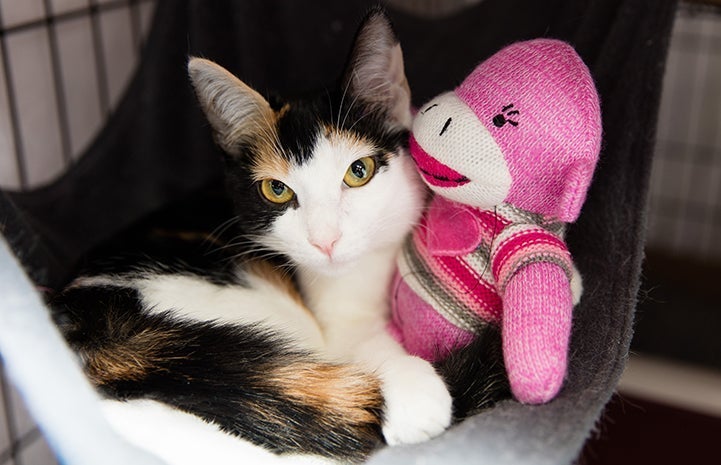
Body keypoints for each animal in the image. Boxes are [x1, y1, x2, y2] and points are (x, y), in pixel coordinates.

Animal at [47, 8, 510, 464]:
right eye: (276, 189)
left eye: (358, 171)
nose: (326, 240)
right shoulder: (333, 324)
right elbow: (362, 341)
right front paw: (415, 389)